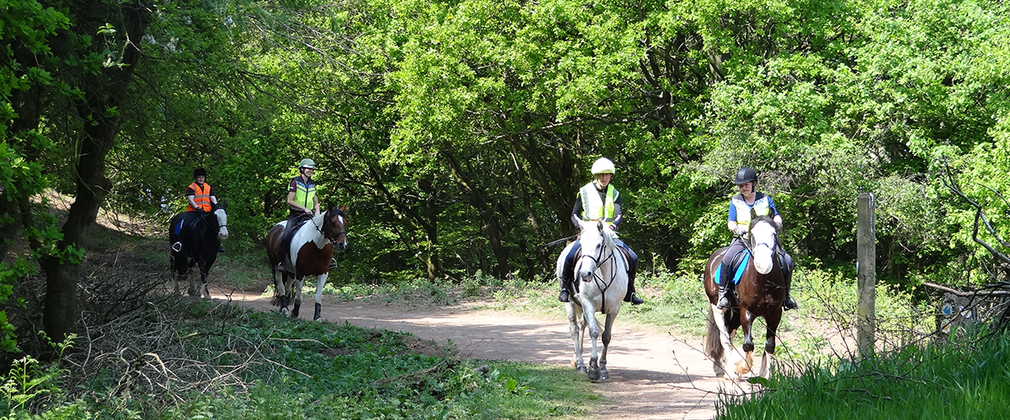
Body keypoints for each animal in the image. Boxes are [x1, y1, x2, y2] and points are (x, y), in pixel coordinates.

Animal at [702, 215, 787, 379]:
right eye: (752, 234)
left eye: (774, 233)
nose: (763, 263)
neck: (763, 280)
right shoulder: (747, 311)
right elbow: (748, 344)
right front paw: (742, 368)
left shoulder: (775, 313)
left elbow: (770, 344)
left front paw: (765, 374)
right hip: (718, 308)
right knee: (724, 338)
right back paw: (729, 371)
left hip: (735, 312)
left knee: (729, 333)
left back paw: (722, 367)